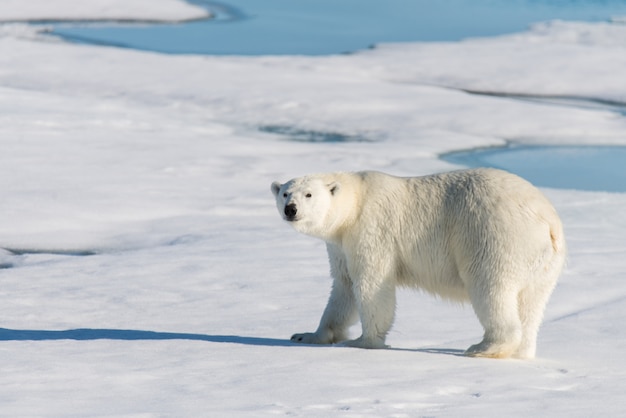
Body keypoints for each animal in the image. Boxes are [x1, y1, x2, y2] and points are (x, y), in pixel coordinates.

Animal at [270, 168, 564, 358]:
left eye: (308, 195)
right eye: (285, 193)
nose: (291, 209)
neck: (355, 203)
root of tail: (548, 220)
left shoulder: (371, 229)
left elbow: (371, 284)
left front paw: (362, 342)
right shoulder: (340, 245)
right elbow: (343, 288)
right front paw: (307, 335)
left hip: (494, 236)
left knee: (491, 289)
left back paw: (483, 348)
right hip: (543, 262)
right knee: (531, 303)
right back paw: (522, 351)